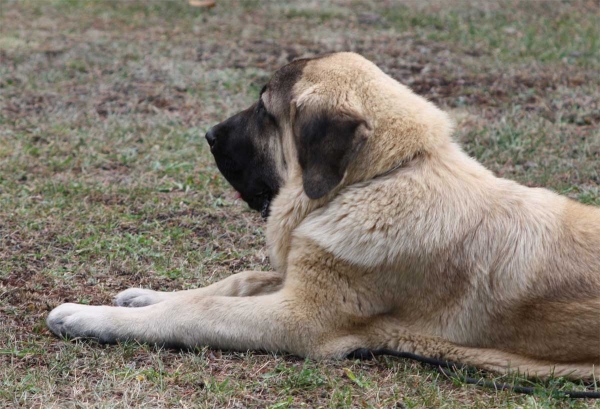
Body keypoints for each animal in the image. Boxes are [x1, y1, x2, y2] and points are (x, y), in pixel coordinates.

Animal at [48, 51, 600, 380]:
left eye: (264, 111)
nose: (207, 134)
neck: (376, 180)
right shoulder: (300, 275)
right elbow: (231, 282)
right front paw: (143, 296)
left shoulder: (300, 317)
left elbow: (199, 312)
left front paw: (86, 317)